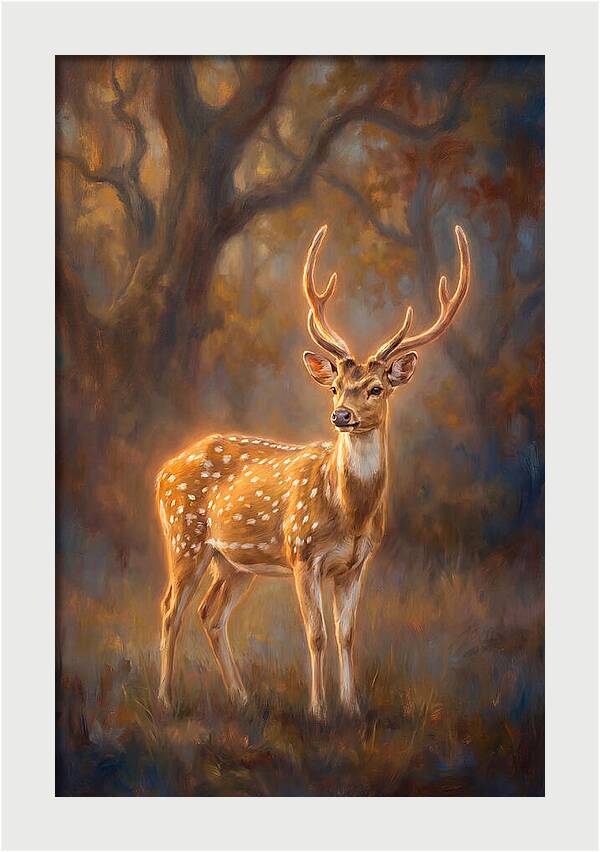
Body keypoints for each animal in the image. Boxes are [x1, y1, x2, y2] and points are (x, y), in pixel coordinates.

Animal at [156, 223, 471, 719]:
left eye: (376, 388)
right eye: (336, 386)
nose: (341, 415)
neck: (350, 513)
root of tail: (163, 470)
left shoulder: (356, 565)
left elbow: (347, 634)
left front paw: (352, 707)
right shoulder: (302, 554)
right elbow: (316, 634)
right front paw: (319, 710)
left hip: (233, 562)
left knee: (210, 613)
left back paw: (241, 697)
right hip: (184, 536)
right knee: (171, 609)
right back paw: (167, 699)